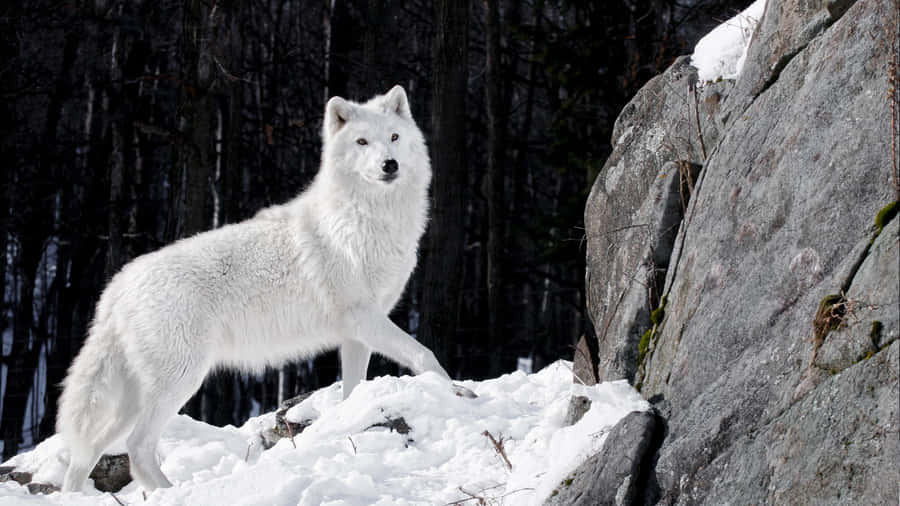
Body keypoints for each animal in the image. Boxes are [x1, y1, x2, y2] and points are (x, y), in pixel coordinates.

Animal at [57, 85, 470, 493]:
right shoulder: (363, 318)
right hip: (181, 380)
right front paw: (458, 392)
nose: (390, 165)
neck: (368, 219)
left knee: (87, 452)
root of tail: (118, 285)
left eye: (394, 138)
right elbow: (424, 355)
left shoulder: (358, 333)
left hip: (132, 400)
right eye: (362, 141)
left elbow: (353, 389)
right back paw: (173, 491)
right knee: (137, 447)